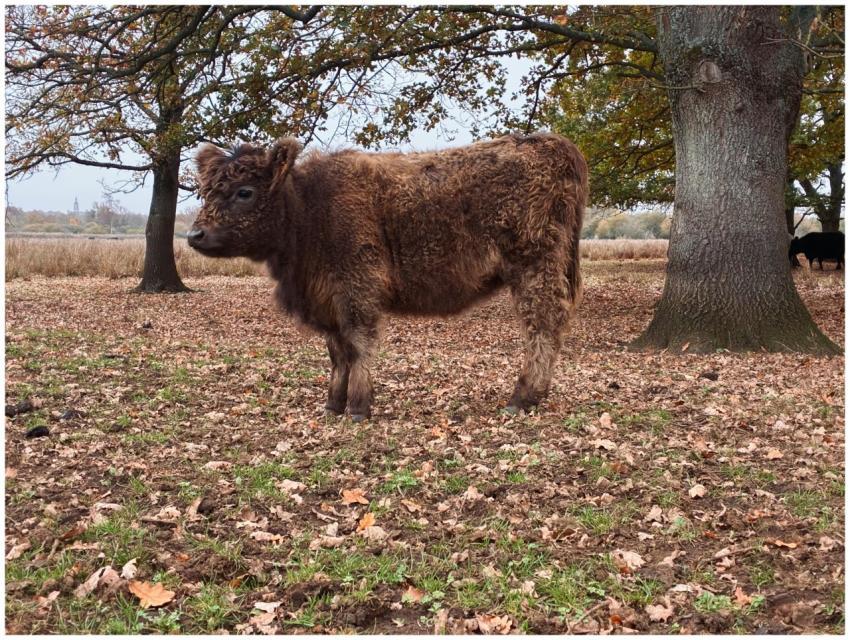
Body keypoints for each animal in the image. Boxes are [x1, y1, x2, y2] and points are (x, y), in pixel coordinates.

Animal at [189, 133, 587, 421]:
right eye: (206, 192)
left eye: (245, 192)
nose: (195, 234)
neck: (309, 209)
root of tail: (550, 142)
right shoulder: (328, 302)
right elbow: (338, 352)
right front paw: (332, 405)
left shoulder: (357, 290)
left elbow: (358, 345)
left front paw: (358, 407)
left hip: (536, 269)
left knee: (542, 327)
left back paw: (523, 397)